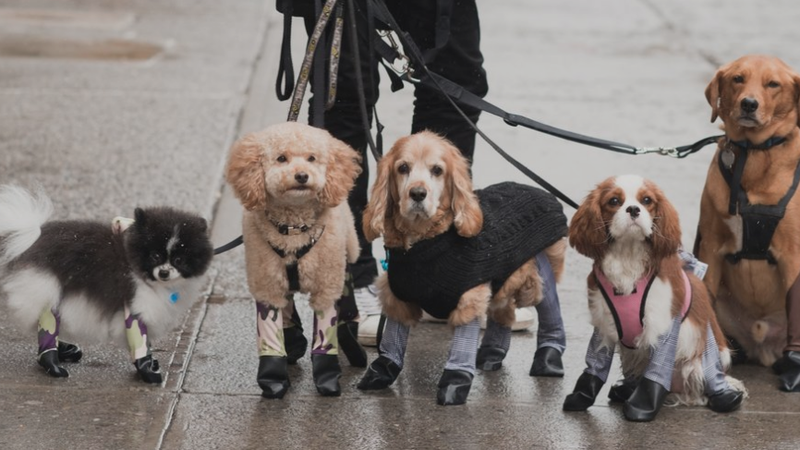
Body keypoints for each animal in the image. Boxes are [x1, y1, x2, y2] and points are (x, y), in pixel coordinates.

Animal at [0, 185, 214, 382]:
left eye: (179, 260)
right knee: (48, 321)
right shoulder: (134, 306)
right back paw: (53, 365)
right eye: (155, 256)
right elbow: (140, 341)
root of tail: (34, 236)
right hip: (46, 285)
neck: (135, 264)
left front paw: (150, 363)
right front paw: (147, 371)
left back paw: (65, 351)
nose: (164, 272)